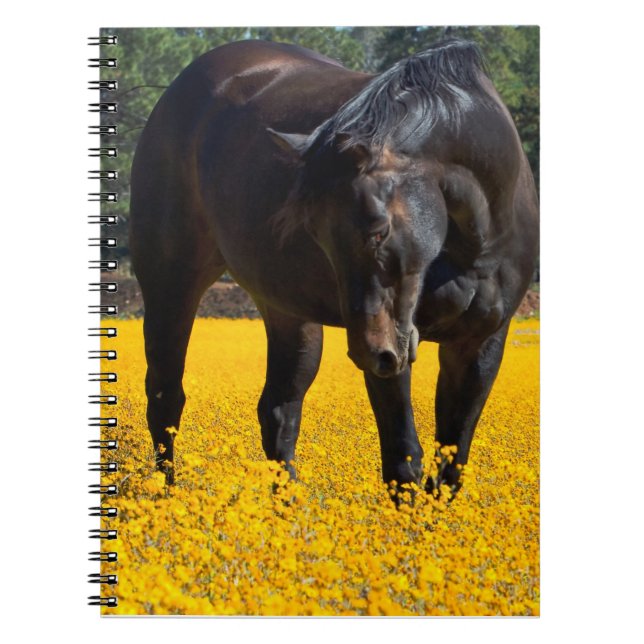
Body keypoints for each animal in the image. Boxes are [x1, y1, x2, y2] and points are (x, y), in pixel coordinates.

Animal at [130, 38, 539, 500]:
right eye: (315, 232)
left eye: (379, 228)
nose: (368, 352)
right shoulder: (394, 351)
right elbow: (404, 460)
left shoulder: (480, 343)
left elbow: (451, 466)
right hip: (171, 283)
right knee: (165, 397)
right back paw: (166, 495)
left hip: (289, 314)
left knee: (278, 410)